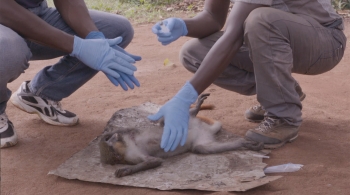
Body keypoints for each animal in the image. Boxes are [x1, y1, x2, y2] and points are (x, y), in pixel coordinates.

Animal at [98, 93, 262, 177]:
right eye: (112, 147)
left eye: (113, 140)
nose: (115, 138)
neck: (126, 148)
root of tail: (202, 127)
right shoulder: (132, 156)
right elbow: (154, 161)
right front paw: (127, 170)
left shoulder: (127, 139)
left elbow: (130, 130)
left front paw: (108, 133)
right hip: (202, 137)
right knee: (201, 148)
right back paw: (241, 143)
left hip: (186, 123)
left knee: (165, 121)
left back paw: (195, 109)